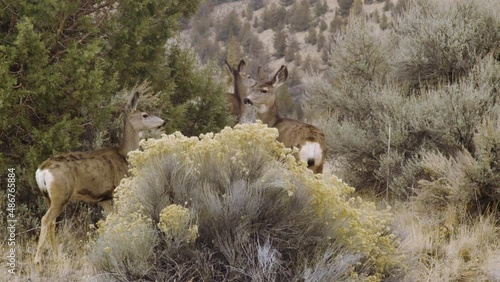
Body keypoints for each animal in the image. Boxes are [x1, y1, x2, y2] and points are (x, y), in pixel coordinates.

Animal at [33, 87, 166, 266]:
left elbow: (111, 220)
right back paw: (38, 260)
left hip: (48, 196)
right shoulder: (117, 190)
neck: (124, 155)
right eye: (145, 115)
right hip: (61, 194)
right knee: (46, 220)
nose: (163, 122)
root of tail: (42, 170)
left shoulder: (103, 198)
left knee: (52, 222)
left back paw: (56, 256)